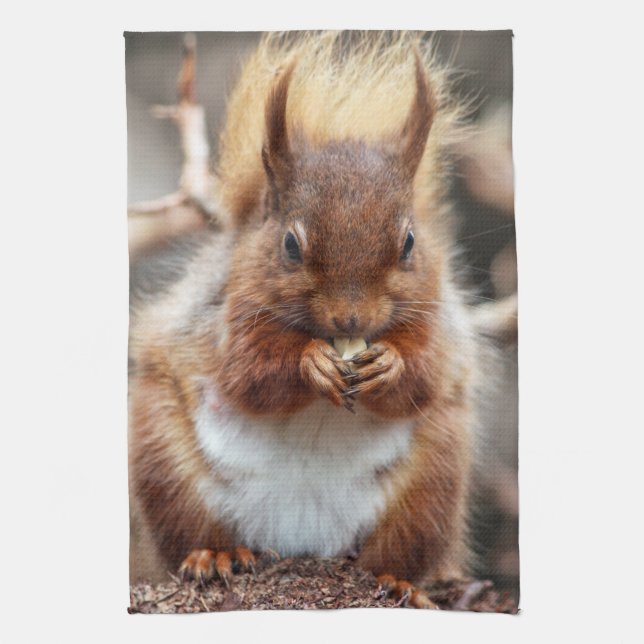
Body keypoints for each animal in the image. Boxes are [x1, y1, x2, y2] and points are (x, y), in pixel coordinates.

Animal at [129, 31, 486, 608]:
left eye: (409, 243)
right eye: (290, 245)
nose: (351, 319)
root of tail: (303, 542)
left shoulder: (438, 322)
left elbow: (425, 376)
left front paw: (389, 364)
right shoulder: (226, 313)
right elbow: (249, 374)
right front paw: (310, 365)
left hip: (431, 486)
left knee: (397, 552)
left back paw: (398, 582)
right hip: (167, 465)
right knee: (193, 529)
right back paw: (215, 555)